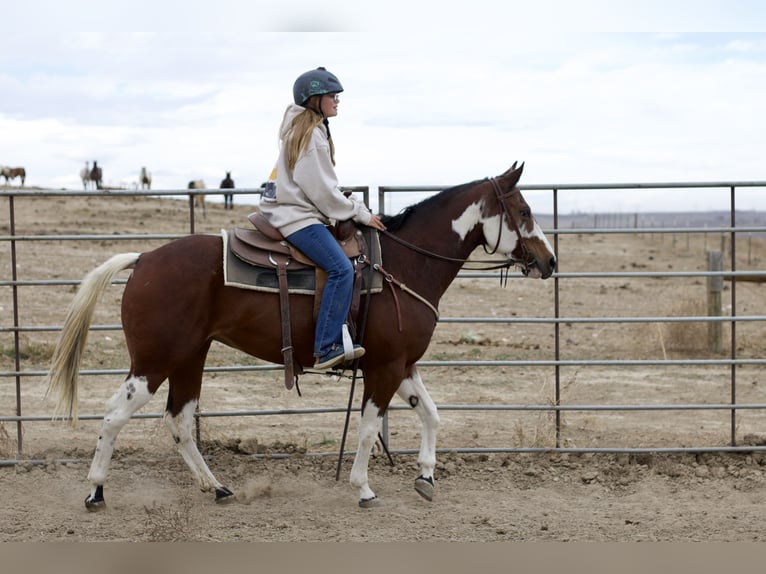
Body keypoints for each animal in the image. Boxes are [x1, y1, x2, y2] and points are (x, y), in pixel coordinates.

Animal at [45, 162, 556, 510]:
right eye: (524, 209)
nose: (549, 262)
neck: (404, 265)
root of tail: (145, 259)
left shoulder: (402, 364)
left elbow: (430, 414)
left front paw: (426, 477)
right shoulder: (385, 368)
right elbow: (369, 428)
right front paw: (363, 488)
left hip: (190, 357)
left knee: (180, 421)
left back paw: (217, 487)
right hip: (153, 361)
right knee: (115, 416)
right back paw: (95, 491)